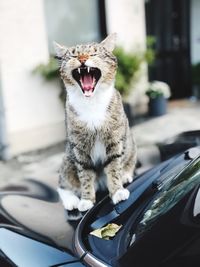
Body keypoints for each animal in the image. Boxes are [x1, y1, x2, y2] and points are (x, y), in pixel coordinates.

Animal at [54, 34, 137, 214]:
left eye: (94, 53)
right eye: (73, 55)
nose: (82, 59)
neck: (91, 103)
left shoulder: (115, 142)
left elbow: (114, 168)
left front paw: (117, 191)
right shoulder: (79, 149)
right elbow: (84, 175)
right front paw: (86, 200)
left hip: (131, 146)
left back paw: (126, 175)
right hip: (68, 159)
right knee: (62, 183)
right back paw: (71, 200)